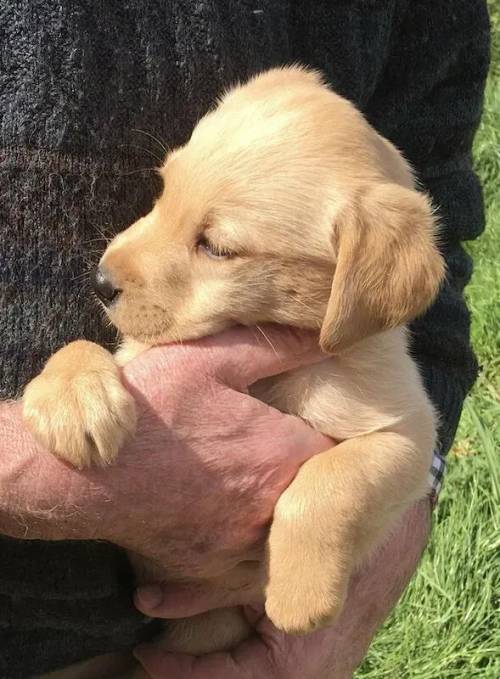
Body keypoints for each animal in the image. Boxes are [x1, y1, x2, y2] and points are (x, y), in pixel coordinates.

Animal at [24, 66, 446, 656]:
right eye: (163, 191)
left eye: (217, 248)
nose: (100, 281)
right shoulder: (139, 352)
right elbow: (82, 348)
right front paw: (71, 402)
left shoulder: (407, 434)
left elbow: (329, 482)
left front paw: (299, 597)